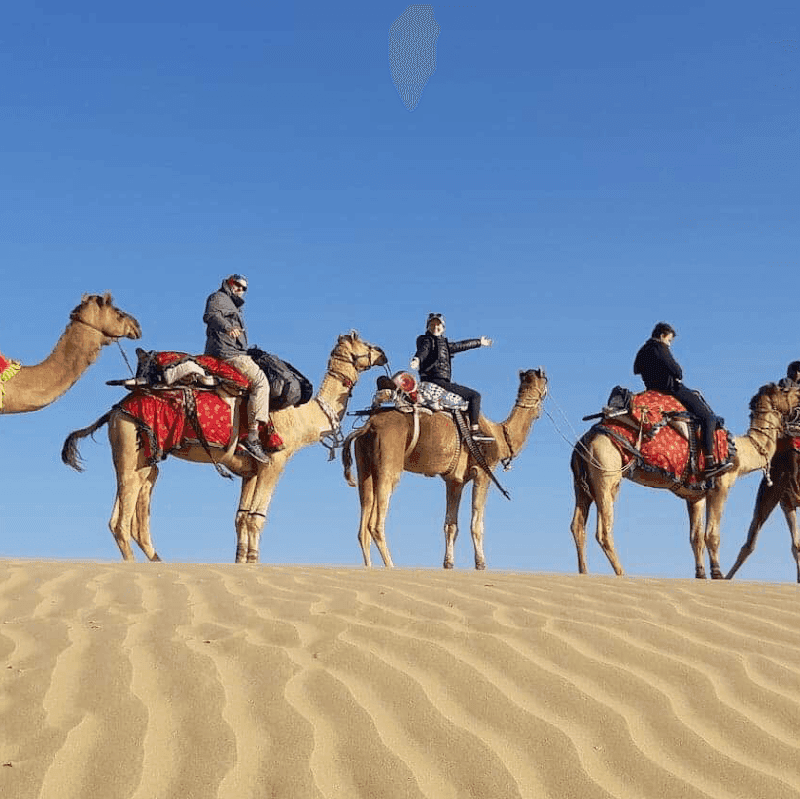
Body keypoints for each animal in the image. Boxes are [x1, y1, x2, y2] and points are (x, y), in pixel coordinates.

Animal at [62, 332, 387, 563]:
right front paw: (253, 561)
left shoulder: (251, 471)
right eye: (366, 343)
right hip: (131, 447)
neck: (303, 416)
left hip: (142, 458)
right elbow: (256, 519)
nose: (383, 353)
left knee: (134, 513)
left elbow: (241, 518)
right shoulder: (275, 462)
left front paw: (241, 560)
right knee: (120, 521)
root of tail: (115, 410)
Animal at [342, 368, 548, 569]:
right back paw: (392, 566)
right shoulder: (484, 472)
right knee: (375, 524)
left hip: (365, 466)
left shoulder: (454, 481)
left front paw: (448, 563)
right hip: (389, 465)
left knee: (363, 525)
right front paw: (481, 564)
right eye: (545, 385)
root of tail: (368, 425)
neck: (499, 436)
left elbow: (451, 524)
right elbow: (477, 523)